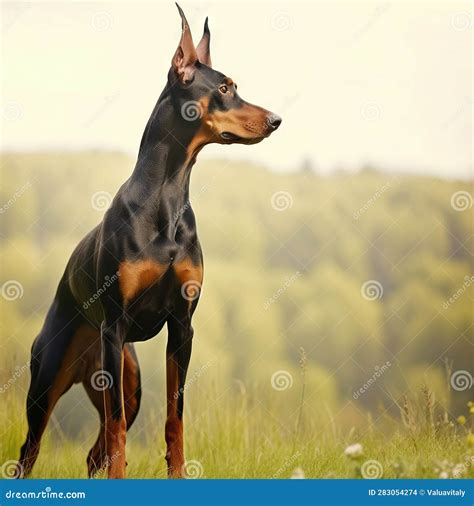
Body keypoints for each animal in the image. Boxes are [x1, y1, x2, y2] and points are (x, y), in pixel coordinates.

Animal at [16, 3, 280, 478]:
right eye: (225, 87)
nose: (276, 120)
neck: (167, 197)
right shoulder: (116, 325)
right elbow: (120, 429)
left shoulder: (182, 325)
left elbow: (175, 419)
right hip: (52, 379)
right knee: (33, 449)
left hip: (127, 377)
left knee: (96, 449)